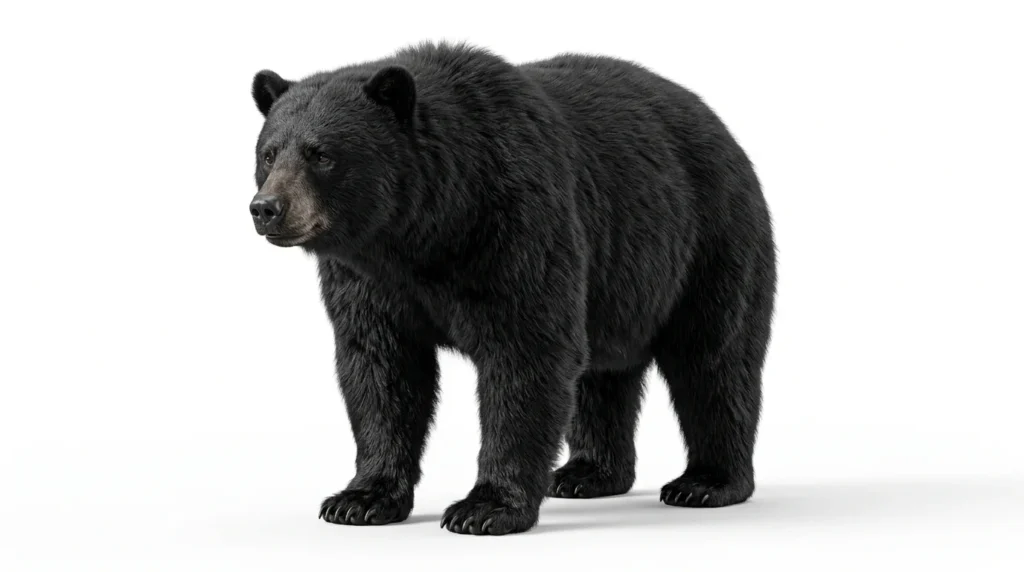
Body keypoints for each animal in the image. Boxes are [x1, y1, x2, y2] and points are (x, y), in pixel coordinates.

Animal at [248, 41, 776, 535]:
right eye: (268, 153)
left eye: (322, 154)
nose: (266, 208)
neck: (424, 229)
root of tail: (722, 127)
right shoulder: (369, 281)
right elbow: (381, 369)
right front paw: (359, 499)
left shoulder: (516, 224)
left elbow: (527, 353)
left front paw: (485, 508)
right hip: (620, 281)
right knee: (602, 374)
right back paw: (587, 473)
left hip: (709, 241)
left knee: (713, 359)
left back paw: (706, 482)